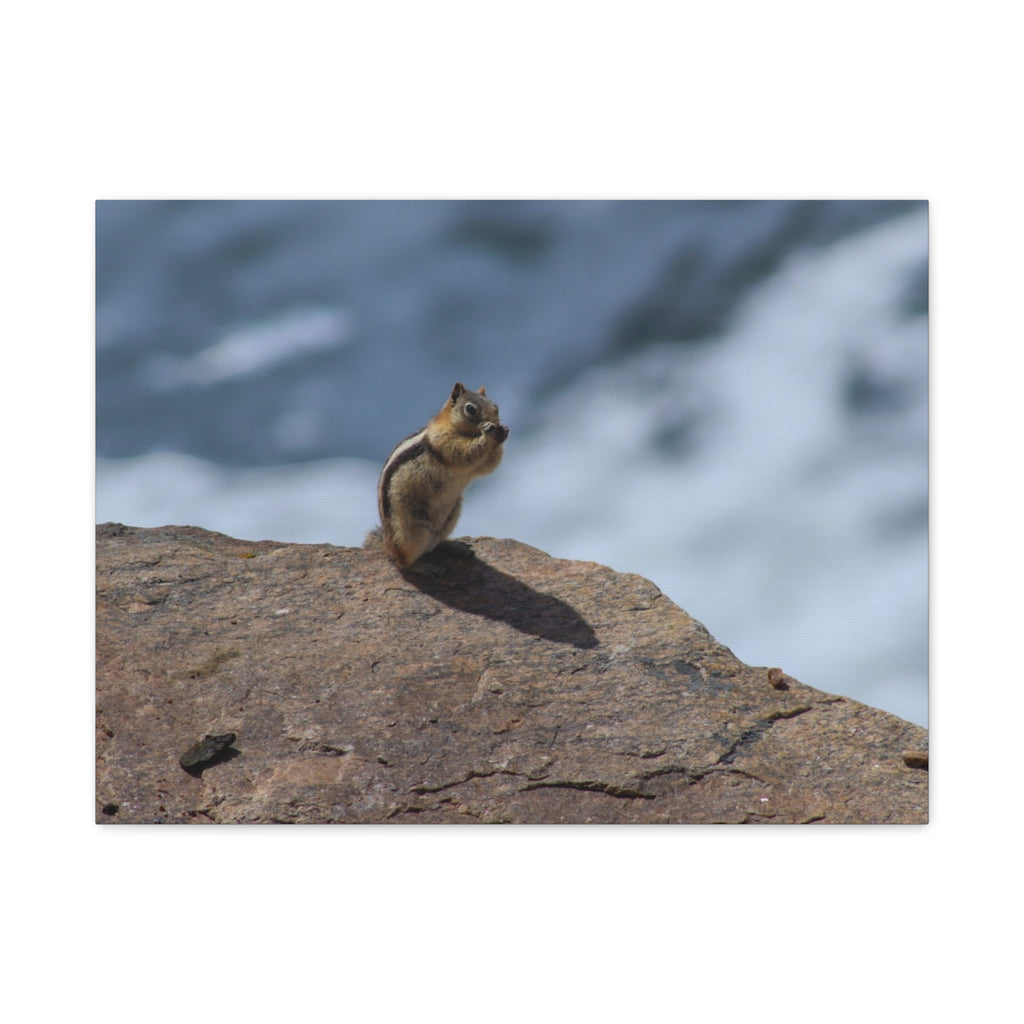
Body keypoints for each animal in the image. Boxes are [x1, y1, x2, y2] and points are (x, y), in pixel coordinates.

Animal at [369, 381, 509, 568]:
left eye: (496, 408)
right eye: (470, 409)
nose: (495, 422)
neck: (467, 433)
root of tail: (387, 542)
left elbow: (489, 465)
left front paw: (504, 432)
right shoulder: (444, 441)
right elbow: (465, 453)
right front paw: (489, 434)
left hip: (451, 516)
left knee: (435, 544)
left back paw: (455, 546)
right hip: (412, 528)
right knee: (403, 560)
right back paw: (425, 567)